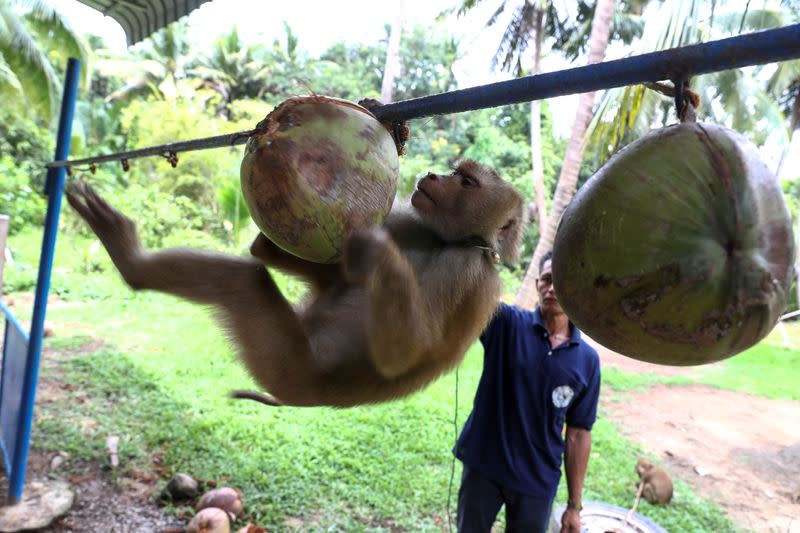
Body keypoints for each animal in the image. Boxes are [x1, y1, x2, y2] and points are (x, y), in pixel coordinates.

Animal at [67, 158, 524, 408]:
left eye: (466, 182)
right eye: (454, 172)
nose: (431, 175)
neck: (442, 239)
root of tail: (300, 397)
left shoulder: (467, 270)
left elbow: (404, 354)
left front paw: (374, 249)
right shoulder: (408, 220)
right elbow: (296, 263)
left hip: (285, 365)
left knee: (244, 284)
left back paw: (131, 264)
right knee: (247, 276)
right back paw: (130, 259)